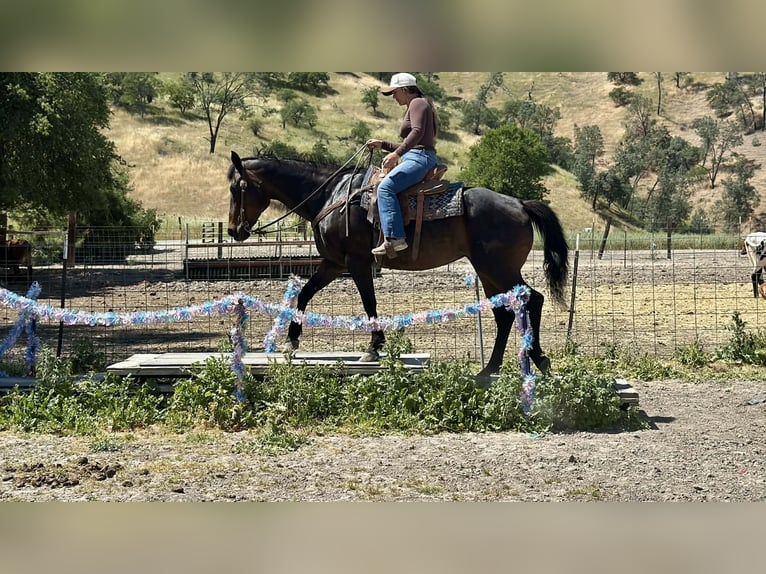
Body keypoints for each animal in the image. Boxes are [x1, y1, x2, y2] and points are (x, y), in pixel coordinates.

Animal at [227, 150, 569, 380]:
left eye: (236, 188)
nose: (233, 231)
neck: (331, 196)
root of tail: (520, 203)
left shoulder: (357, 262)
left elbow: (369, 303)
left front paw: (373, 347)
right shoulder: (333, 263)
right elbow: (305, 294)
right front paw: (291, 341)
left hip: (500, 269)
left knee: (532, 299)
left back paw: (539, 359)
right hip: (488, 272)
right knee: (504, 313)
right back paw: (489, 368)